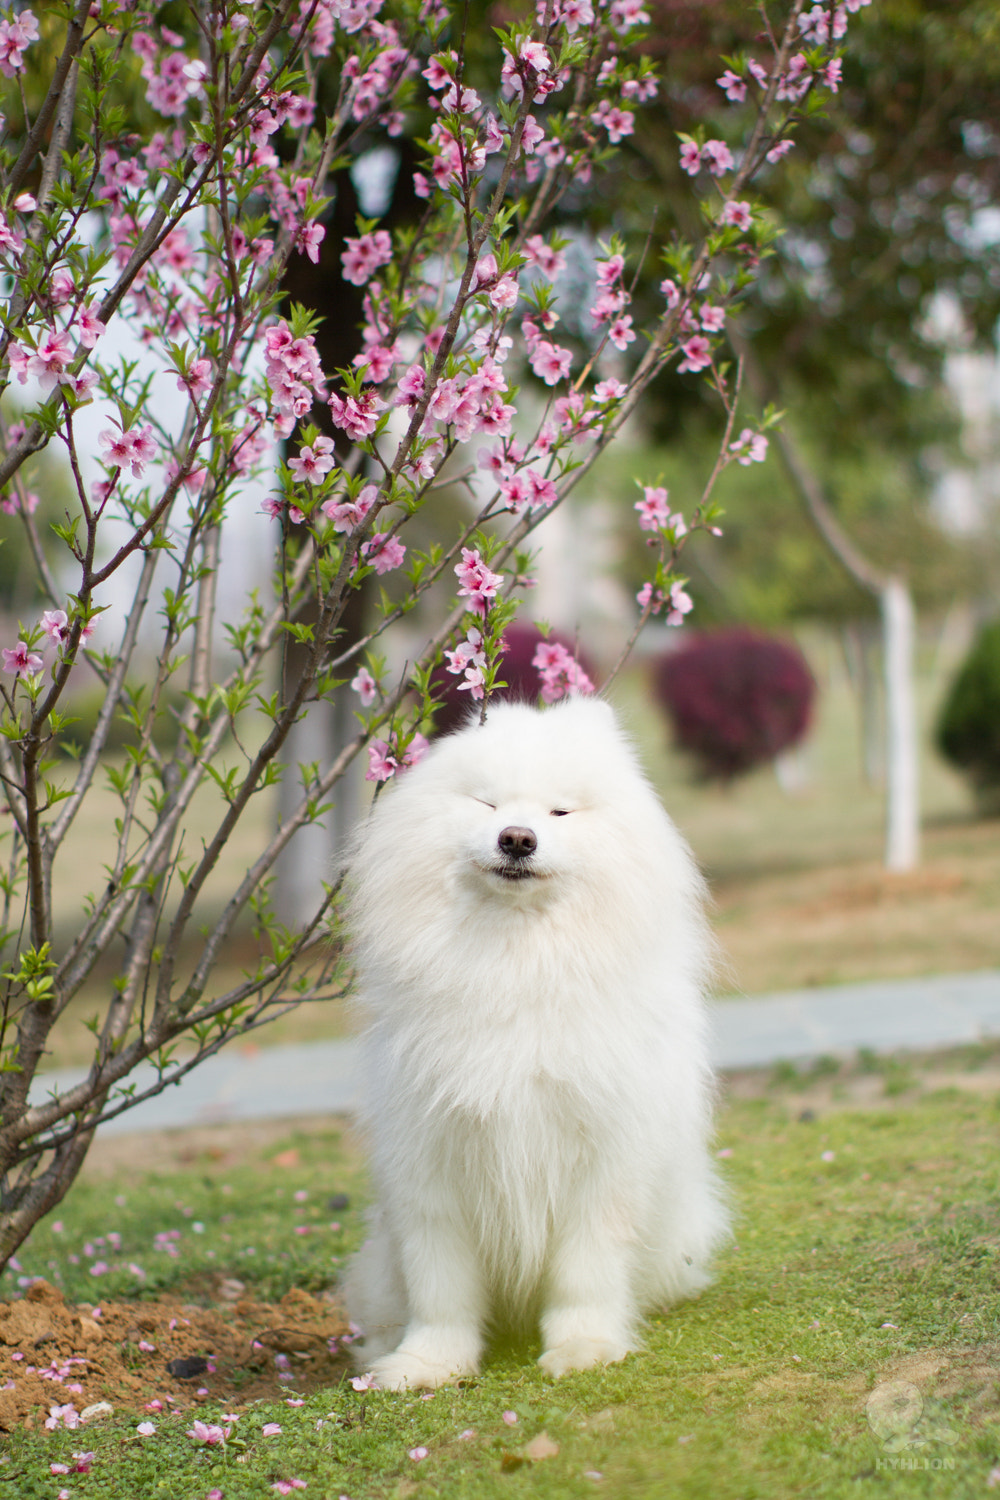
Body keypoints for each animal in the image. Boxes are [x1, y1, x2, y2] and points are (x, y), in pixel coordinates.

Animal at [344, 696, 728, 1386]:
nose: (517, 838)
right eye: (488, 804)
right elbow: (440, 1287)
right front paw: (426, 1364)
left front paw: (584, 1348)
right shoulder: (429, 1157)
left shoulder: (600, 1157)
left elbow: (585, 1272)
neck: (514, 961)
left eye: (560, 812)